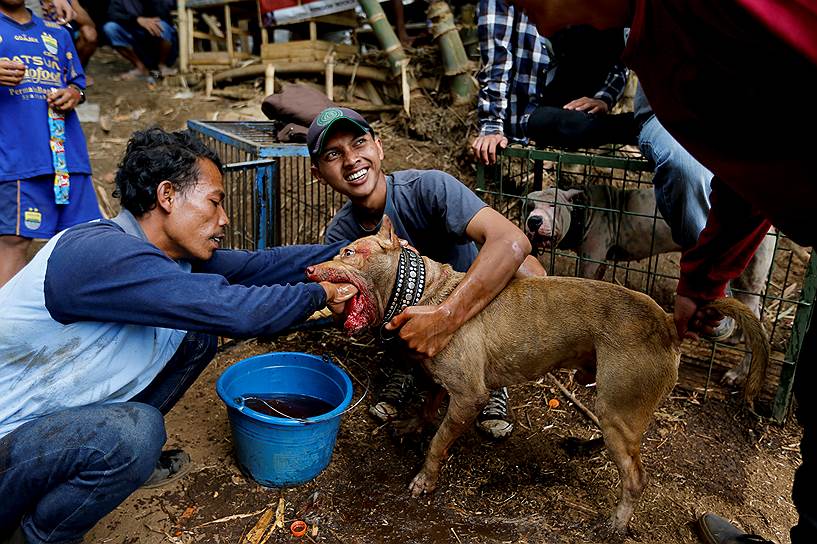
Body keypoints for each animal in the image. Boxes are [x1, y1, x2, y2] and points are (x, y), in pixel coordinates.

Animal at [304, 216, 764, 532]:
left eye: (349, 253)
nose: (308, 270)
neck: (425, 292)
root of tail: (667, 322)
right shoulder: (444, 378)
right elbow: (431, 400)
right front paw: (413, 422)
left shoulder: (468, 396)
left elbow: (438, 441)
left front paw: (425, 478)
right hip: (613, 403)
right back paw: (585, 447)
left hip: (619, 405)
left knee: (635, 477)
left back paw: (616, 522)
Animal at [524, 186, 776, 386]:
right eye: (529, 206)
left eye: (553, 205)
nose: (534, 220)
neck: (583, 211)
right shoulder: (599, 261)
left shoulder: (591, 258)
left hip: (746, 278)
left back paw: (739, 372)